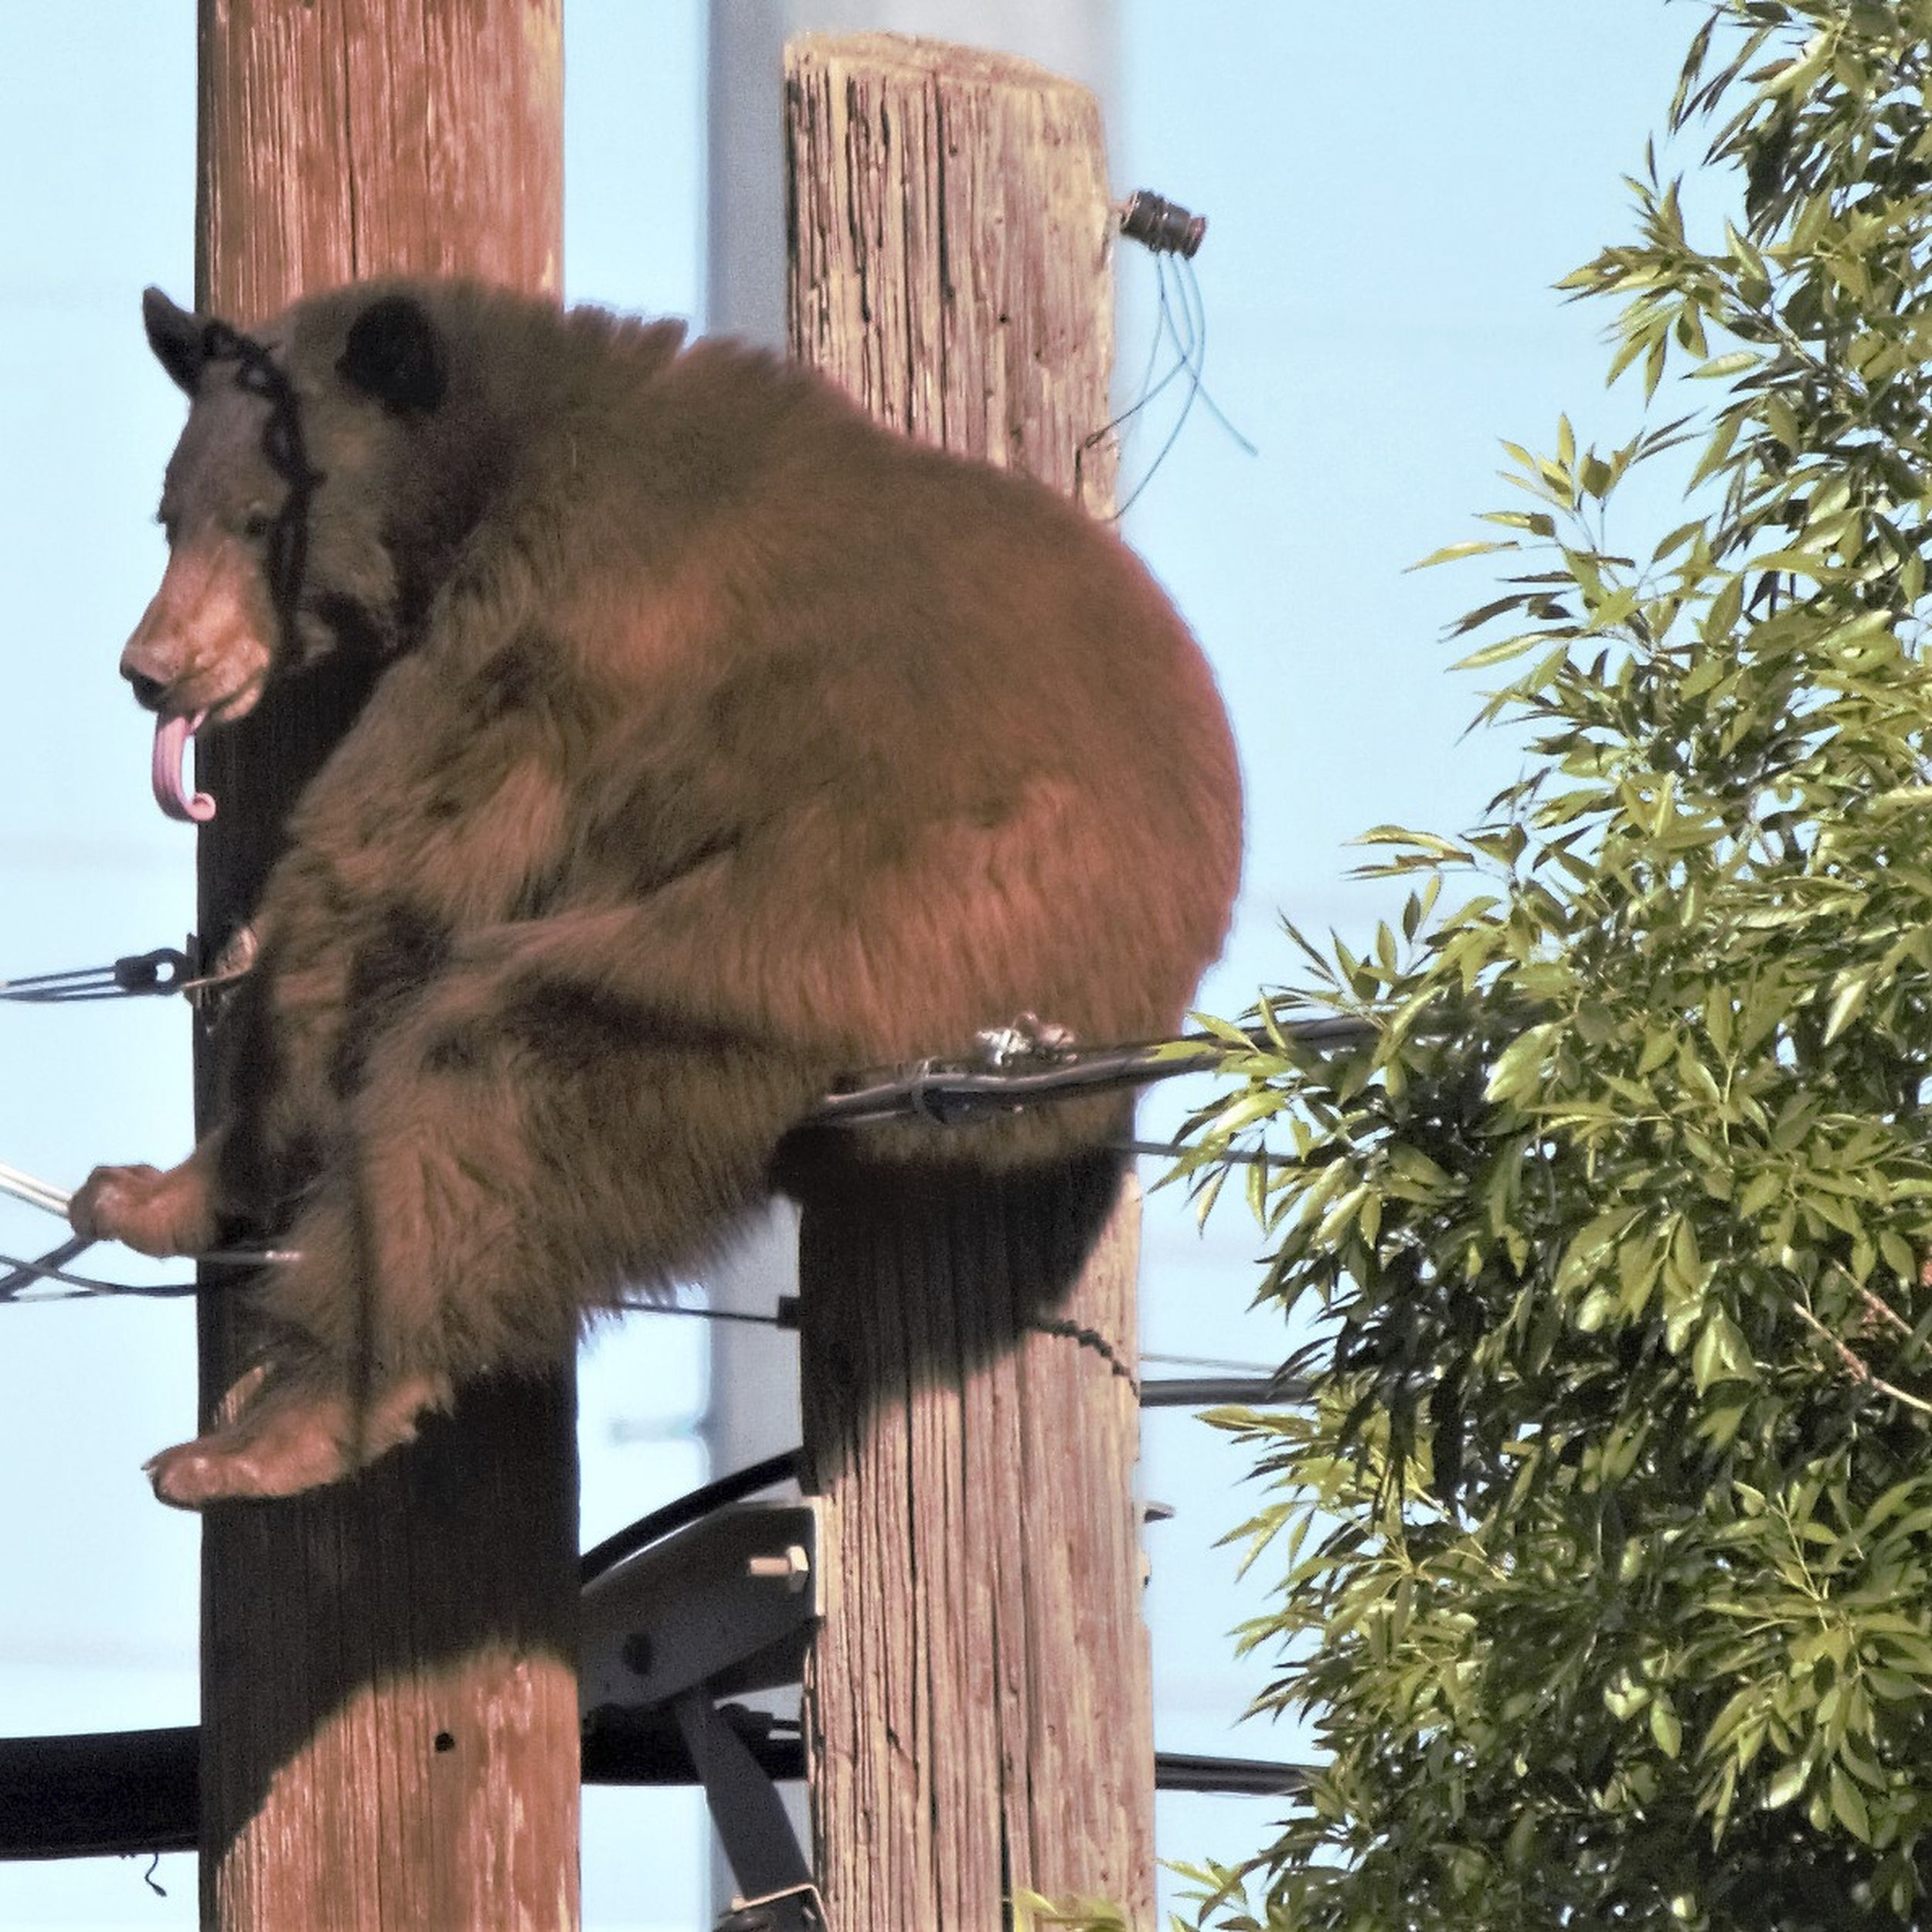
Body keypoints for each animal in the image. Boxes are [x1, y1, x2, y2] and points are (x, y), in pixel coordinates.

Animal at [68, 278, 1242, 1509]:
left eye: (259, 520)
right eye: (169, 516)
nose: (152, 666)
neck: (491, 462)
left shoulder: (557, 626)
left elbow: (390, 864)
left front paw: (167, 1185)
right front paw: (140, 1187)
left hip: (863, 925)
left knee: (499, 1081)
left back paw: (275, 1430)